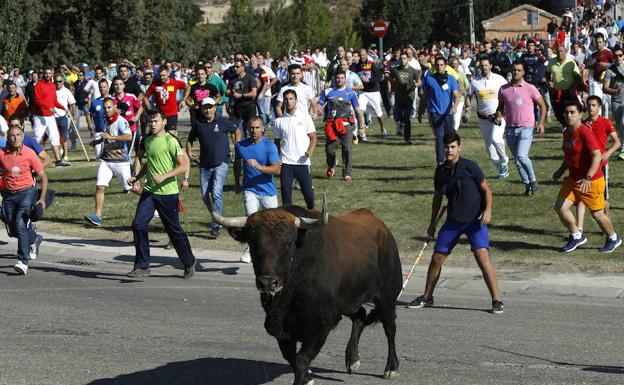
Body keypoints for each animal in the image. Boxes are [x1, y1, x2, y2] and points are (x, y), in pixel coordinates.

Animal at [211, 196, 404, 382]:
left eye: (288, 243)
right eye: (252, 243)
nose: (268, 283)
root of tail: (381, 226)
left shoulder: (320, 325)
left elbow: (301, 360)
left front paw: (304, 378)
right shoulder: (282, 329)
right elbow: (291, 358)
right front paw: (307, 377)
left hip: (387, 297)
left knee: (390, 328)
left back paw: (391, 368)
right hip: (349, 301)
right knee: (360, 317)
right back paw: (352, 360)